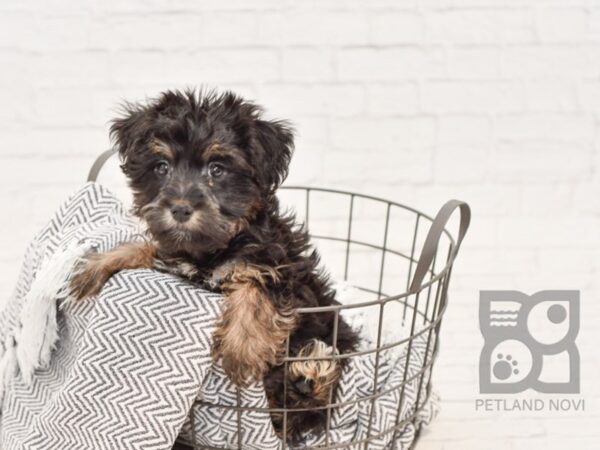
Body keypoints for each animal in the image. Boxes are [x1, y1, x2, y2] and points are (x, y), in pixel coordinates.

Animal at [70, 89, 360, 442]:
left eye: (217, 169)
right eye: (162, 167)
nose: (181, 208)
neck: (211, 249)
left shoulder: (278, 266)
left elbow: (254, 287)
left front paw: (241, 350)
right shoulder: (175, 260)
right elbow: (148, 248)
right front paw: (99, 264)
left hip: (328, 324)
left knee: (304, 407)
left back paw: (311, 372)